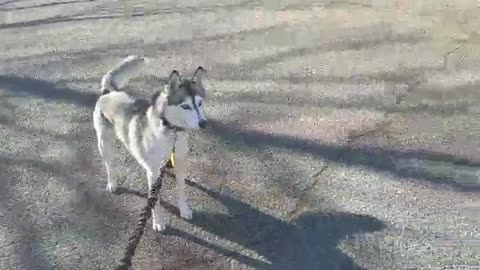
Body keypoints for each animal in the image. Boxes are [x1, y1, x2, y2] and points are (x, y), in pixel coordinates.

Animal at [93, 55, 207, 232]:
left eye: (200, 103)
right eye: (185, 106)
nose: (204, 123)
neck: (170, 131)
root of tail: (109, 92)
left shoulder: (180, 160)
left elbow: (181, 189)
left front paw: (184, 209)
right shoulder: (153, 173)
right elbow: (155, 200)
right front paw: (158, 221)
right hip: (104, 144)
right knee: (109, 165)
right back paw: (112, 183)